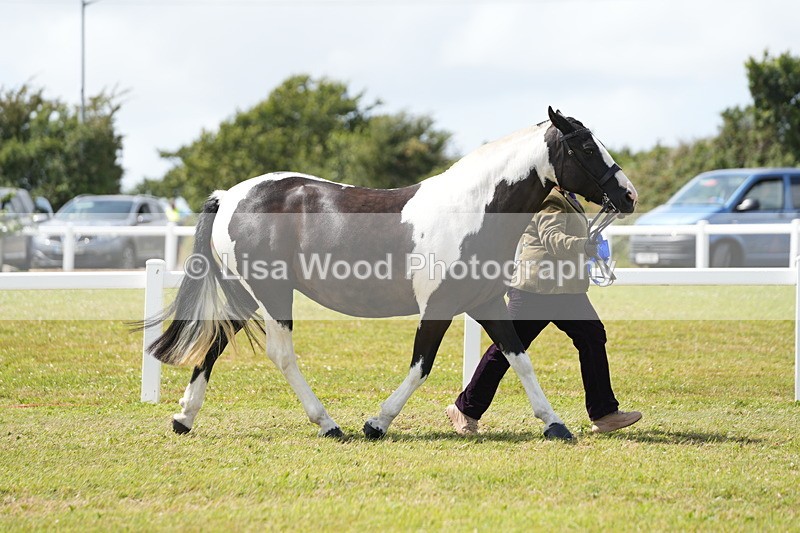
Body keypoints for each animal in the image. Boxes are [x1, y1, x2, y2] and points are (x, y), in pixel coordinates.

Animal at [146, 107, 637, 440]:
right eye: (587, 146)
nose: (628, 195)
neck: (473, 210)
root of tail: (230, 195)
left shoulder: (484, 302)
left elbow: (518, 357)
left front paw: (555, 424)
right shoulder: (438, 306)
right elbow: (422, 364)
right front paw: (376, 422)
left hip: (247, 294)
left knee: (216, 340)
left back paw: (184, 417)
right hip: (271, 293)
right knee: (280, 354)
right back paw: (328, 424)